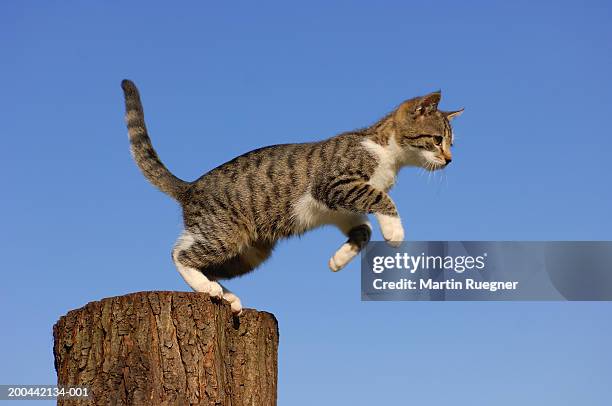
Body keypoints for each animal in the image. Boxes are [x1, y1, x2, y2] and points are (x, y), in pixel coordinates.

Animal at [122, 79, 462, 314]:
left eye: (451, 143)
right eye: (437, 140)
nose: (449, 160)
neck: (387, 153)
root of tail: (190, 187)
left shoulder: (337, 207)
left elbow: (363, 228)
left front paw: (338, 260)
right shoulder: (334, 184)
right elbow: (381, 198)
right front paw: (394, 231)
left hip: (249, 253)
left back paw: (224, 295)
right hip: (225, 234)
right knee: (179, 253)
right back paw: (208, 287)